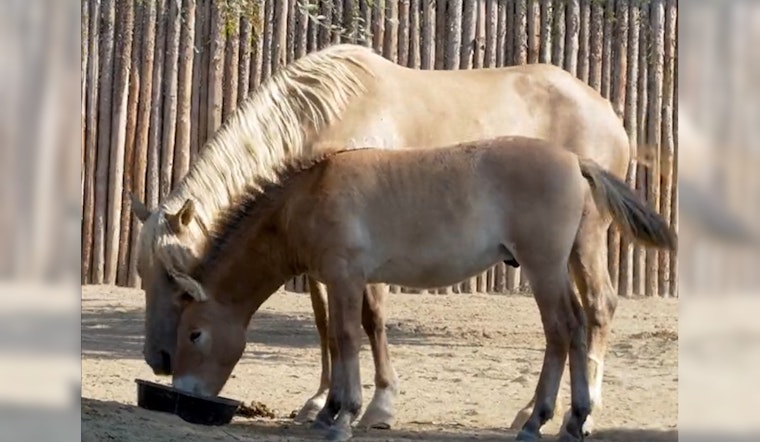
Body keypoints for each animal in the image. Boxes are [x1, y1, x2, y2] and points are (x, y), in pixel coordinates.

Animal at [169, 137, 676, 442]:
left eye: (194, 334)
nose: (184, 395)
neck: (308, 195)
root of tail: (574, 160)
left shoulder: (346, 277)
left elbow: (348, 338)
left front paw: (344, 417)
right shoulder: (342, 282)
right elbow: (340, 336)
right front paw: (331, 411)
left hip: (544, 267)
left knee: (562, 330)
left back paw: (539, 420)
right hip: (565, 262)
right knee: (576, 328)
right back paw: (572, 419)